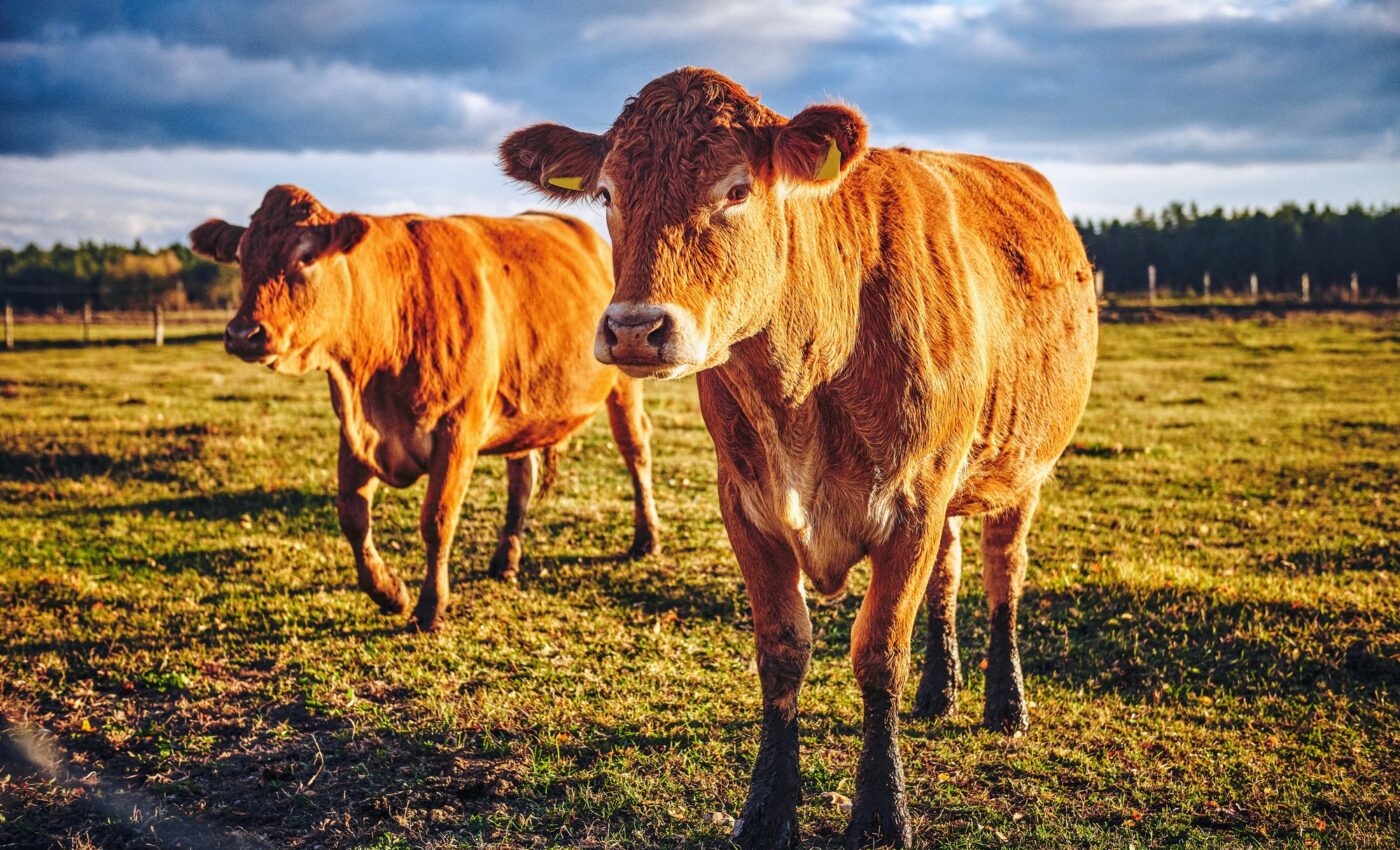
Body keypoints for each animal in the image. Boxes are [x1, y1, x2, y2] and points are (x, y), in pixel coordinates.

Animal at [189, 185, 662, 633]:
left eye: (305, 256)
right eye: (241, 256)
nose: (243, 333)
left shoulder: (458, 428)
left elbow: (437, 518)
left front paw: (430, 607)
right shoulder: (355, 432)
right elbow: (352, 517)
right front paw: (389, 591)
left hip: (624, 384)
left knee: (636, 450)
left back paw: (646, 539)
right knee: (522, 477)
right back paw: (506, 558)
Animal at [499, 68, 1098, 848]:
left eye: (736, 190)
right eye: (606, 194)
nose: (635, 329)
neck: (804, 379)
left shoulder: (912, 505)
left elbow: (879, 652)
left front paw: (880, 811)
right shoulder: (747, 506)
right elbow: (782, 648)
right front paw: (769, 806)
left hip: (1023, 469)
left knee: (1005, 572)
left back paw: (1005, 702)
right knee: (951, 569)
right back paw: (941, 690)